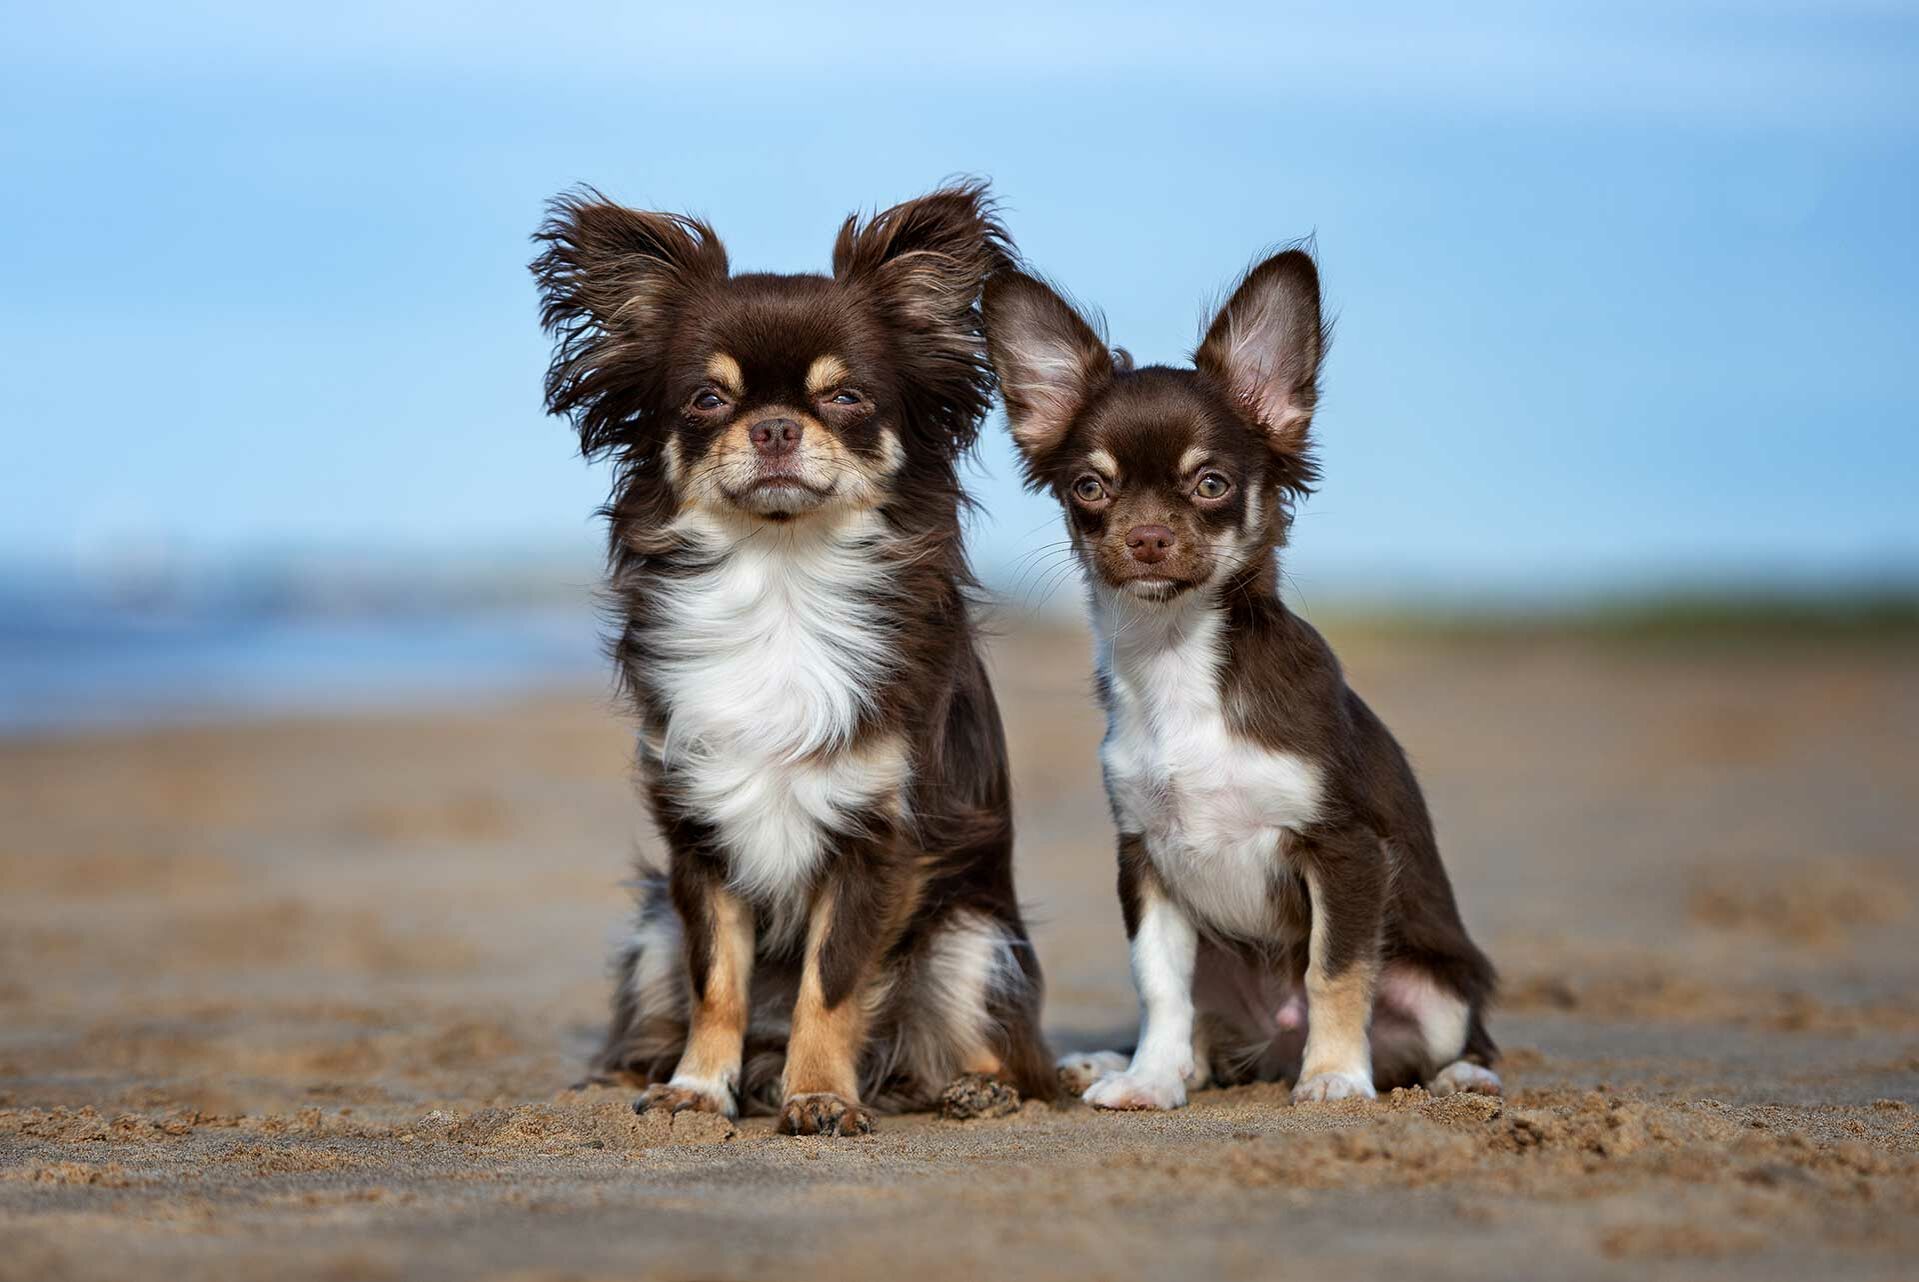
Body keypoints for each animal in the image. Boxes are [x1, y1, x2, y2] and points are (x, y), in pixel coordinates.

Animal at [533, 182, 1059, 1128]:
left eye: (844, 397)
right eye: (708, 400)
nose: (774, 427)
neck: (780, 576)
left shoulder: (876, 840)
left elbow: (832, 981)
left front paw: (817, 1095)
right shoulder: (699, 835)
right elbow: (717, 981)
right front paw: (697, 1088)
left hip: (972, 936)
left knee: (1001, 1051)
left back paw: (975, 1087)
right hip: (651, 929)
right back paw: (647, 1074)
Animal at [990, 245, 1496, 1105]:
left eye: (1211, 484)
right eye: (1089, 487)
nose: (1148, 538)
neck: (1174, 661)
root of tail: (1273, 1046)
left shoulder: (1345, 852)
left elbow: (1334, 972)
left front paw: (1334, 1078)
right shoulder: (1146, 860)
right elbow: (1160, 987)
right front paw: (1148, 1080)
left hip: (1437, 986)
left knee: (1453, 1034)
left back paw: (1458, 1075)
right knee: (1198, 1023)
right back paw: (1124, 1062)